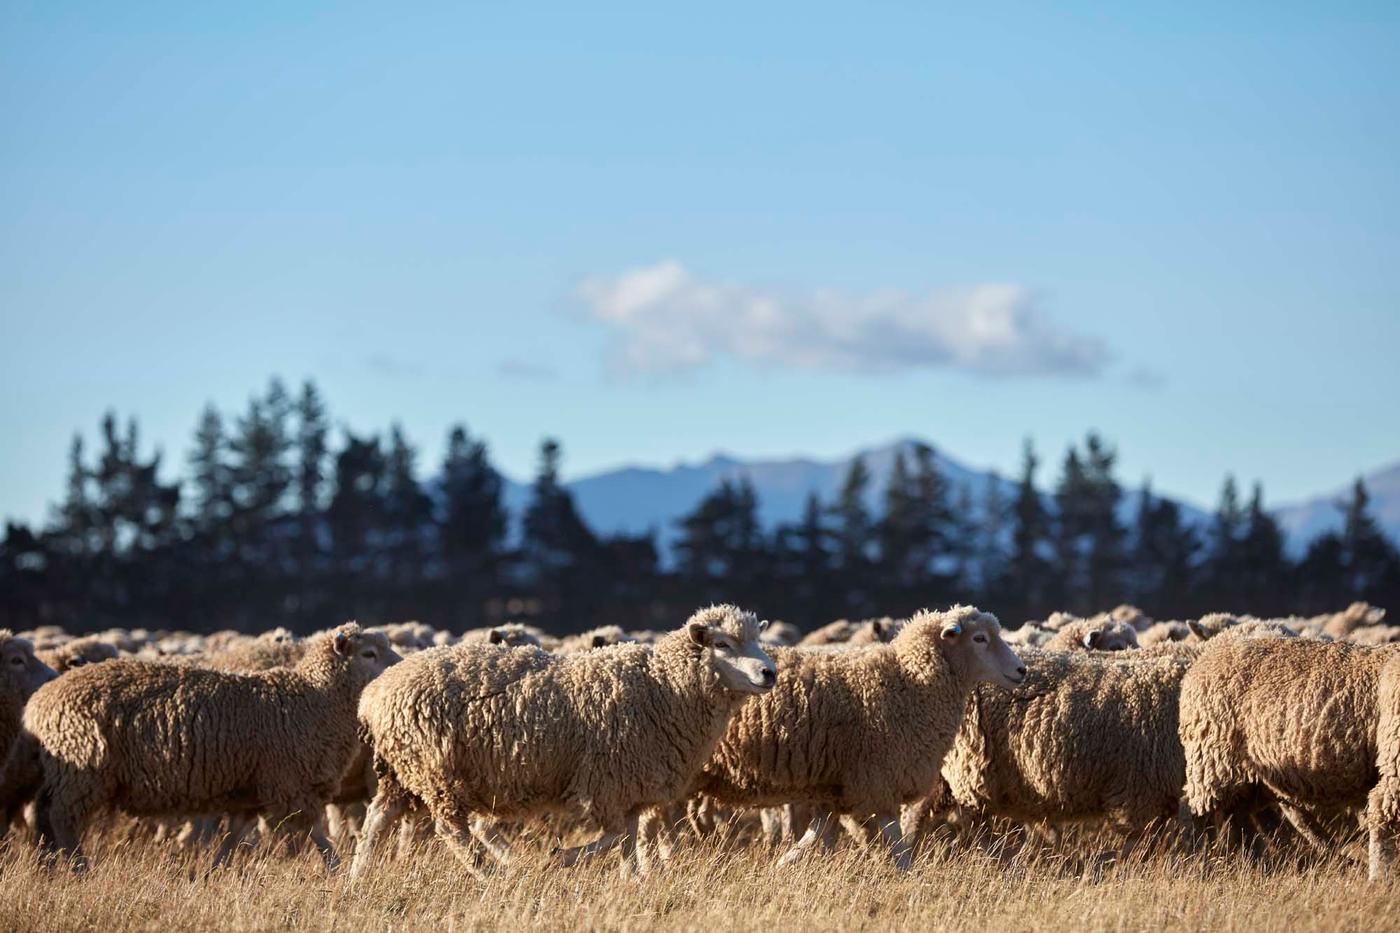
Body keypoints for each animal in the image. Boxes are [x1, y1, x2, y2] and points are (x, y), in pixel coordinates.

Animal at [25, 622, 399, 871]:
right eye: (369, 653)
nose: (400, 666)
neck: (313, 699)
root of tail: (39, 702)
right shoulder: (288, 783)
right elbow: (316, 833)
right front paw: (336, 867)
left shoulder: (251, 788)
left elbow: (234, 835)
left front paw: (212, 869)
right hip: (82, 769)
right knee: (61, 819)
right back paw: (79, 868)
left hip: (70, 774)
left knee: (45, 816)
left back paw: (52, 863)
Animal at [350, 605, 777, 881]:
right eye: (722, 644)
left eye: (757, 639)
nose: (769, 673)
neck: (664, 688)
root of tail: (372, 694)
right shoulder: (607, 782)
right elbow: (615, 836)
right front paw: (561, 857)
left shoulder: (631, 787)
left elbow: (628, 839)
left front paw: (633, 880)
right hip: (435, 770)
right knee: (450, 829)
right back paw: (493, 875)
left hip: (401, 772)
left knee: (376, 820)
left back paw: (357, 878)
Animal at [695, 605, 1025, 869]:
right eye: (979, 638)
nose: (1021, 670)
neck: (909, 682)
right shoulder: (878, 783)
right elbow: (899, 850)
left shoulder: (834, 790)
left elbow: (811, 840)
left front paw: (779, 869)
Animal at [1180, 637, 1400, 858]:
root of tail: (1200, 663)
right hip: (1212, 760)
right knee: (1200, 814)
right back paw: (1202, 857)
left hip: (1249, 776)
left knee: (1239, 816)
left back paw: (1252, 859)